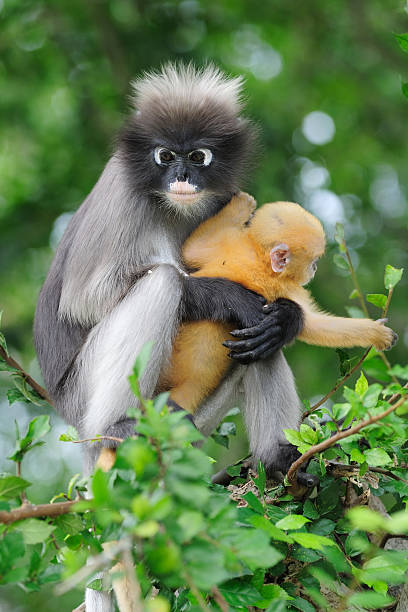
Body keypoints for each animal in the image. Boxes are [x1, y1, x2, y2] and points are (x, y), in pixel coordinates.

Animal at [160, 191, 396, 414]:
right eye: (313, 262)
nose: (315, 269)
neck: (260, 258)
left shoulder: (226, 246)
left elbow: (192, 248)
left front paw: (242, 204)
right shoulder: (286, 285)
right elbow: (314, 326)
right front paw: (377, 333)